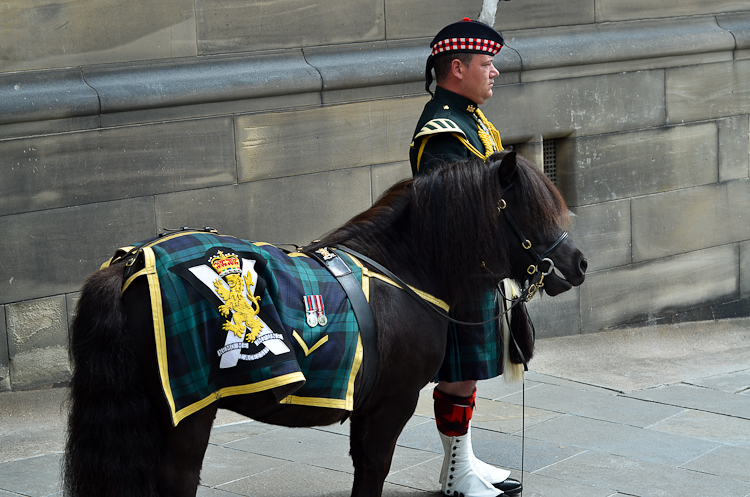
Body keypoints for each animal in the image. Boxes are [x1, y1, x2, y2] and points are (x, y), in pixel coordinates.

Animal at [63, 152, 588, 496]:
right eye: (533, 211)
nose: (578, 263)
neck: (402, 267)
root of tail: (130, 264)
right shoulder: (392, 401)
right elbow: (373, 470)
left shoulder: (369, 403)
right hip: (189, 414)